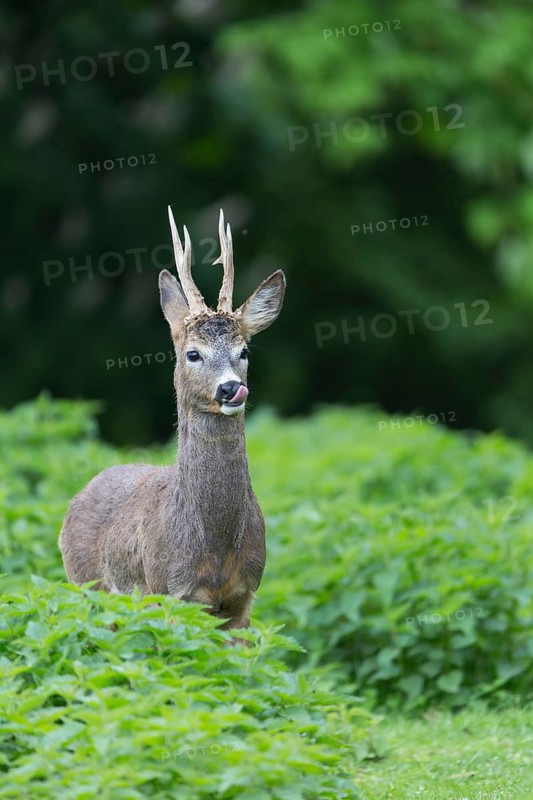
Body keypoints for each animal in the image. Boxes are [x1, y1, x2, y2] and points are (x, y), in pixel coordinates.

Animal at [59, 207, 286, 632]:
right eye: (193, 353)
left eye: (244, 351)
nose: (231, 389)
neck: (214, 549)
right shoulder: (171, 593)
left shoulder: (243, 598)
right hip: (87, 586)